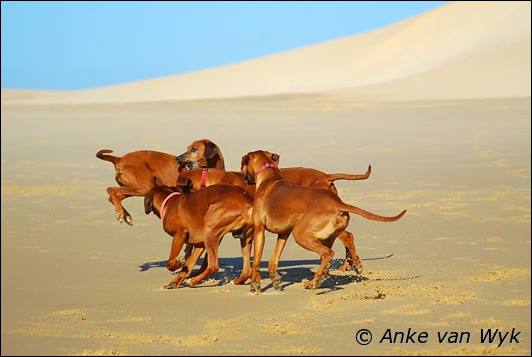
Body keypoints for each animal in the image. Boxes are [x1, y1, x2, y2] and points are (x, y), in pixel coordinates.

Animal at [241, 150, 408, 292]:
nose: (245, 179)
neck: (269, 177)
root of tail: (337, 203)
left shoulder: (259, 230)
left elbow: (256, 261)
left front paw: (255, 284)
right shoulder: (283, 234)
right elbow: (274, 260)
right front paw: (275, 280)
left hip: (301, 234)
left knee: (329, 253)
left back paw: (314, 282)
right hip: (327, 236)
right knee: (334, 250)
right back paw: (326, 276)